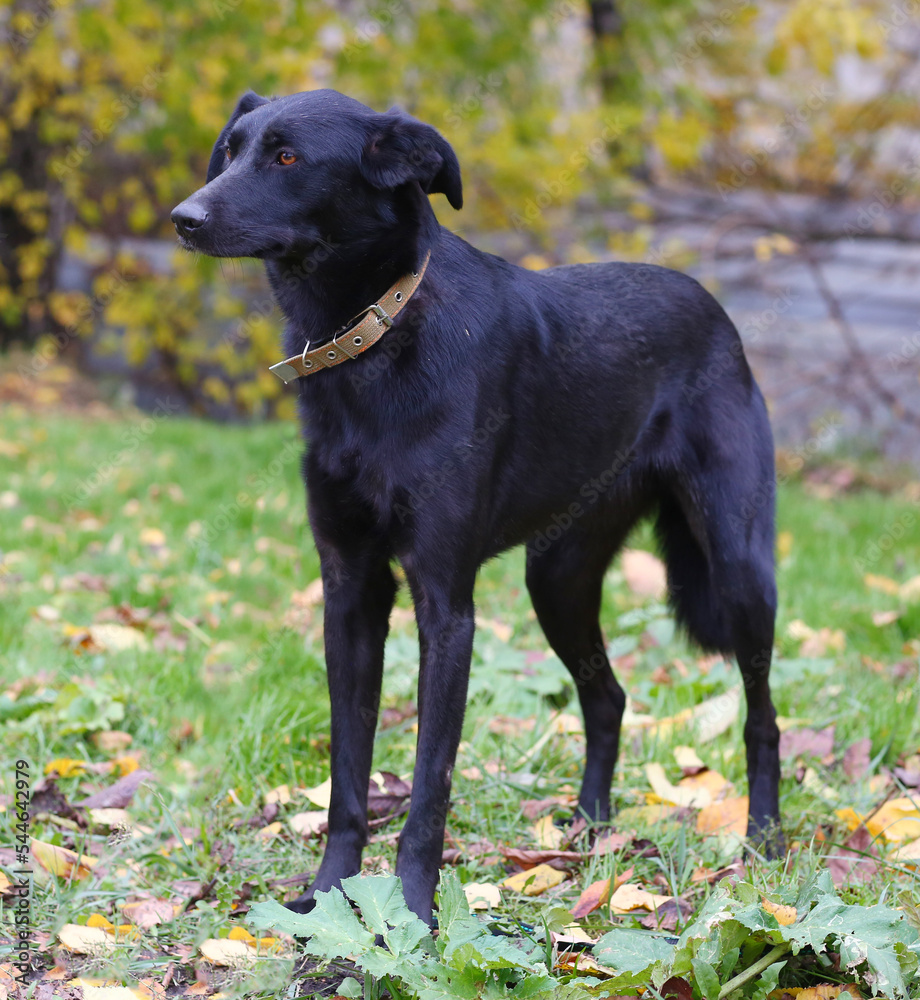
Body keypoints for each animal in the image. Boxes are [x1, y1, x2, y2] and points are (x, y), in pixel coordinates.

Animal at [171, 90, 776, 924]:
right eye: (230, 150)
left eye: (287, 157)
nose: (183, 218)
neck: (376, 334)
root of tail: (715, 309)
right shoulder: (349, 591)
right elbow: (347, 775)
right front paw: (328, 900)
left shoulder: (445, 604)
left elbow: (430, 783)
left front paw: (412, 915)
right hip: (557, 578)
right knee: (609, 698)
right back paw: (589, 833)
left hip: (738, 566)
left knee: (762, 717)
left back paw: (764, 842)